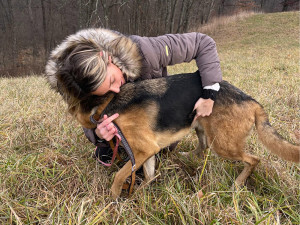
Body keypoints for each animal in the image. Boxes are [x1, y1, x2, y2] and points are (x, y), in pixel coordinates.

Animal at [77, 71, 300, 199]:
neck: (109, 102)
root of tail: (252, 101)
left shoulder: (143, 150)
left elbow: (119, 175)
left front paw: (113, 199)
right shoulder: (147, 152)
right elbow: (149, 176)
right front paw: (137, 195)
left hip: (223, 145)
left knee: (253, 159)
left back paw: (237, 184)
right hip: (201, 127)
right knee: (202, 148)